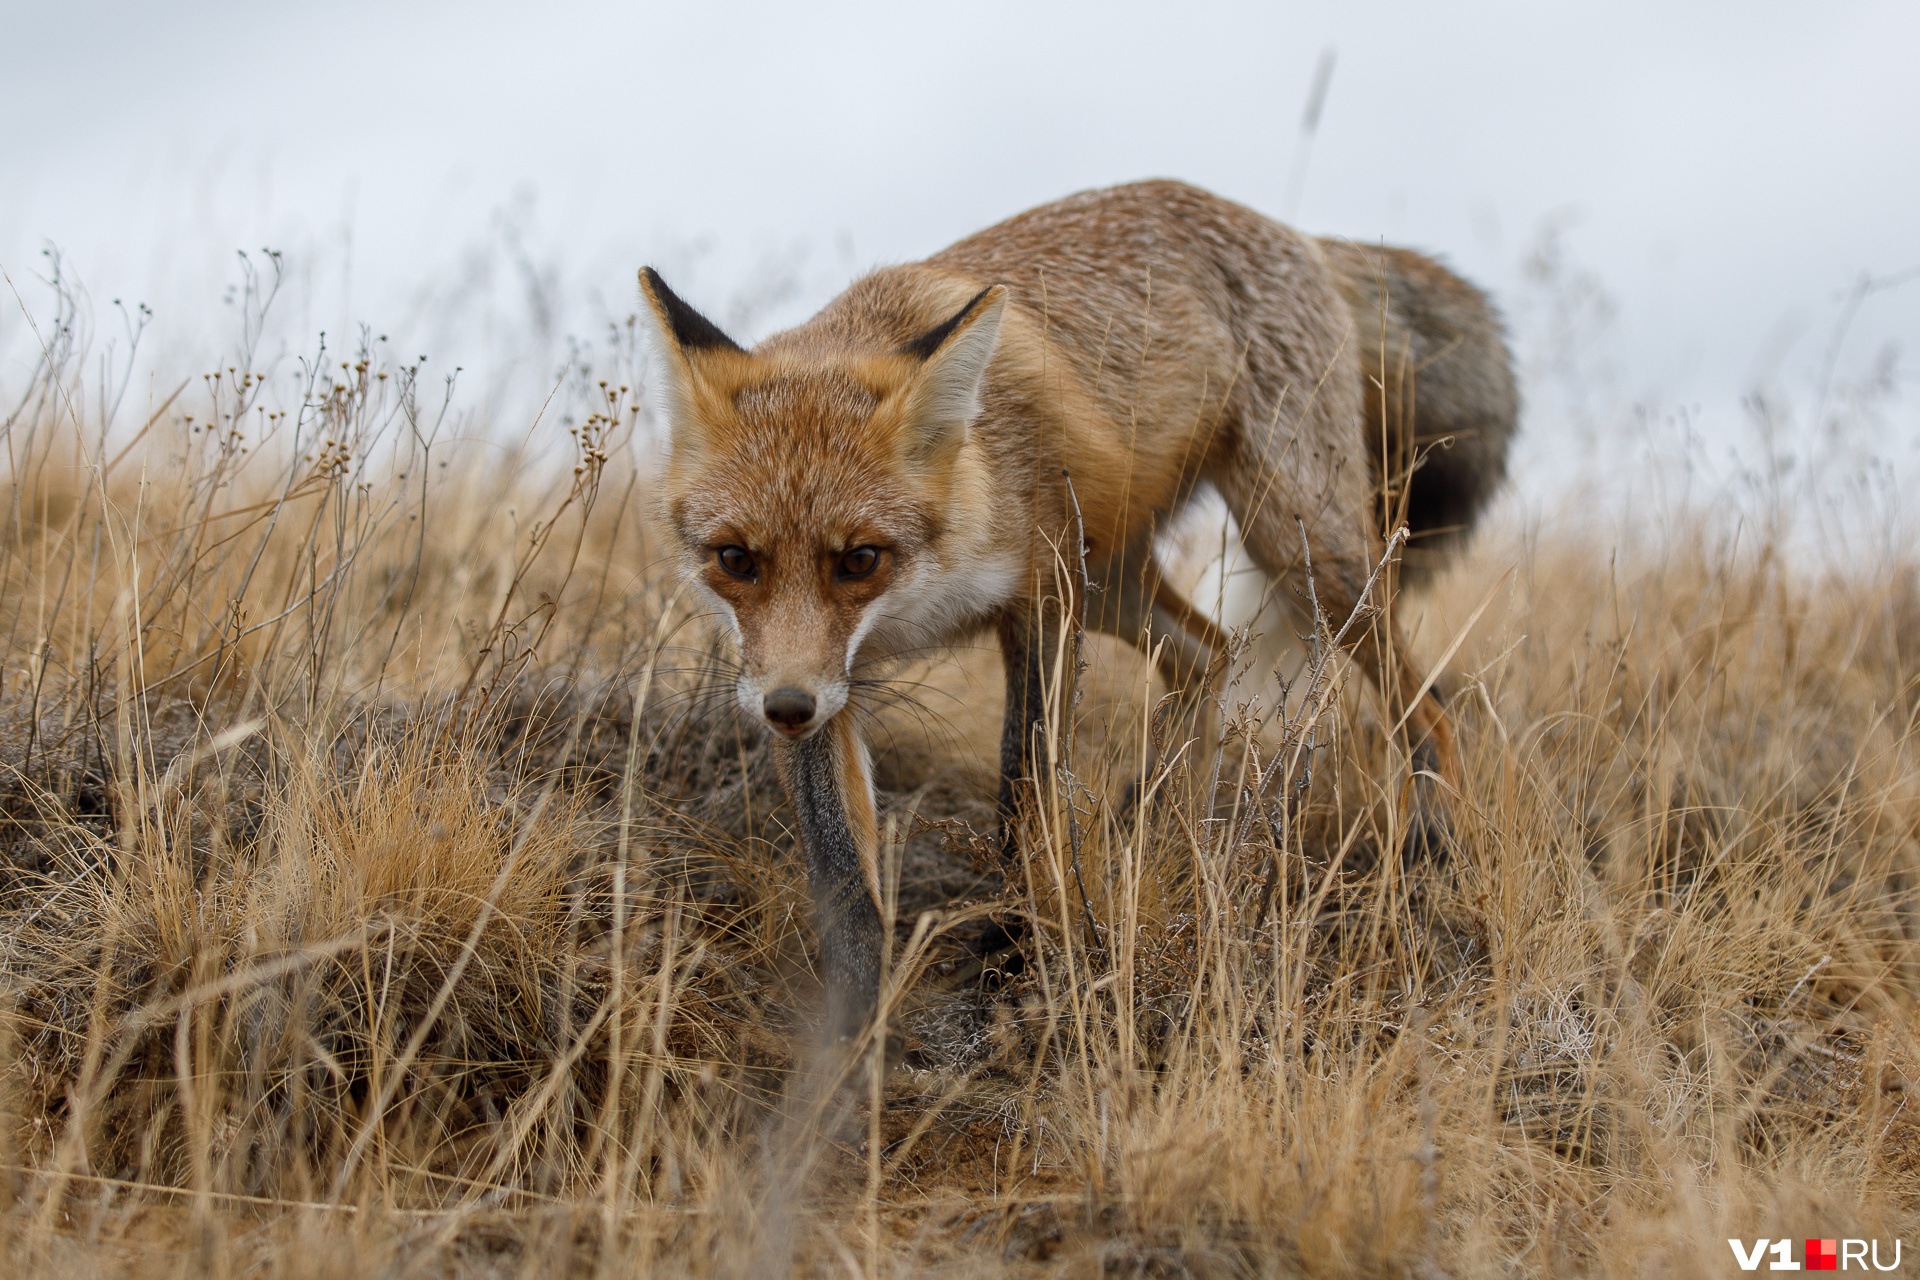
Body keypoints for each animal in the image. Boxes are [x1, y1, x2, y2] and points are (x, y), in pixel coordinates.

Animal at [641, 177, 1512, 1043]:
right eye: (735, 560)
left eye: (860, 559)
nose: (785, 710)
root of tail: (1283, 229)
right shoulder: (813, 672)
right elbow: (844, 877)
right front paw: (851, 1036)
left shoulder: (1042, 600)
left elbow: (1023, 793)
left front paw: (1018, 947)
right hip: (1119, 584)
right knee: (1210, 652)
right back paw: (1150, 816)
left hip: (1300, 551)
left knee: (1434, 701)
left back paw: (1435, 840)